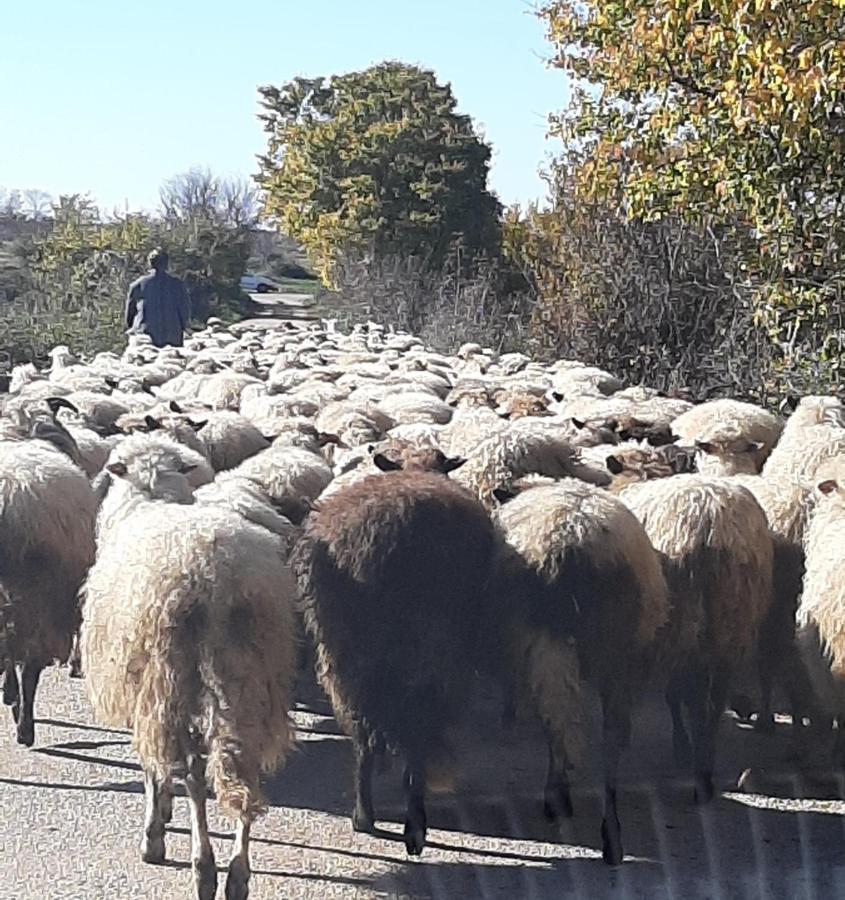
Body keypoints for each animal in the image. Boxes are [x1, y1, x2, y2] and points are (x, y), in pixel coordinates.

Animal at [80, 446, 296, 896]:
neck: (151, 498)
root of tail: (215, 574)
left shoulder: (144, 688)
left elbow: (154, 767)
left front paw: (155, 831)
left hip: (174, 675)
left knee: (197, 775)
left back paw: (204, 868)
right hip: (249, 670)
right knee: (242, 767)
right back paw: (238, 875)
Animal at [290, 468, 502, 856]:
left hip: (345, 659)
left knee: (364, 739)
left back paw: (364, 816)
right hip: (433, 654)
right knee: (416, 733)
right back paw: (413, 825)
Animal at [494, 482, 664, 868]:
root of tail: (569, 536)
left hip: (552, 645)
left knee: (562, 725)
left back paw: (563, 802)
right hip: (615, 651)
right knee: (609, 735)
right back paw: (611, 836)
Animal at [620, 478, 772, 800]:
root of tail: (710, 524)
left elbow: (672, 693)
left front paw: (679, 745)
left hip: (689, 623)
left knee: (697, 701)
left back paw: (700, 772)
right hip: (730, 624)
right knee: (715, 699)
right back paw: (706, 760)